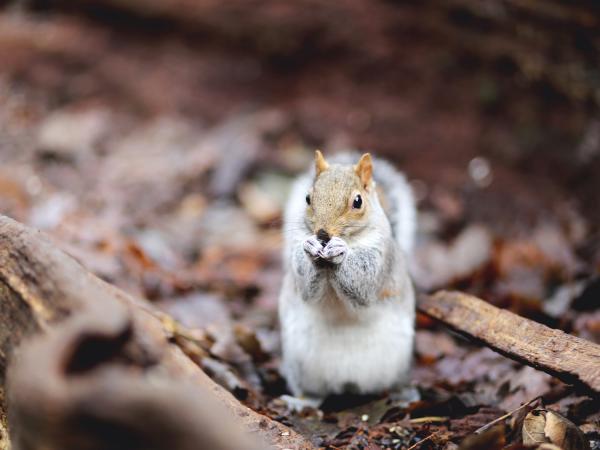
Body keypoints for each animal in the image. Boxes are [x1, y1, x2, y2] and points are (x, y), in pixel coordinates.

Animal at [278, 151, 414, 400]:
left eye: (357, 201)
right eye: (307, 198)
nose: (322, 234)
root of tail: (346, 384)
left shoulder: (381, 258)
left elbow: (364, 283)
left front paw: (341, 252)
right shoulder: (297, 251)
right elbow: (305, 285)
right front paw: (312, 249)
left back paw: (401, 396)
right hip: (301, 367)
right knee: (313, 393)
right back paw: (301, 402)